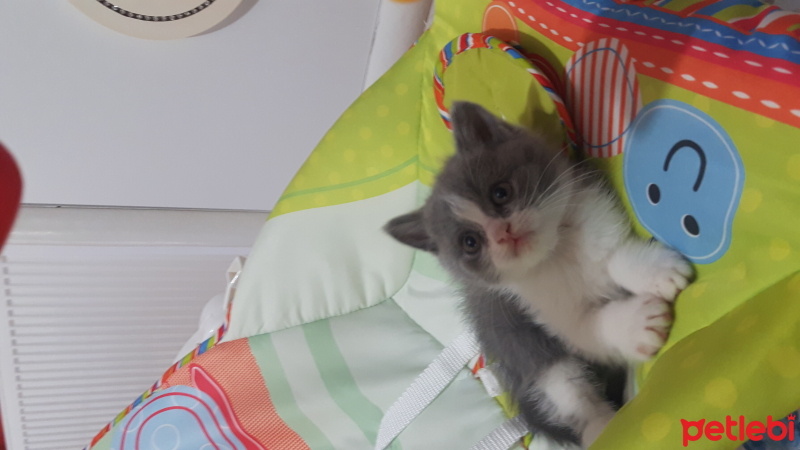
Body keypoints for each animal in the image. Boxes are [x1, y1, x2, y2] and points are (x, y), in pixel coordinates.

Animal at [384, 103, 692, 450]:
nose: (503, 233)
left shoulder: (599, 224)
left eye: (500, 193)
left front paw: (655, 271)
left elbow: (615, 257)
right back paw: (605, 427)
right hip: (528, 356)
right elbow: (588, 328)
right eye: (470, 242)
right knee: (568, 391)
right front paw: (637, 325)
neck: (556, 253)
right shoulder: (539, 313)